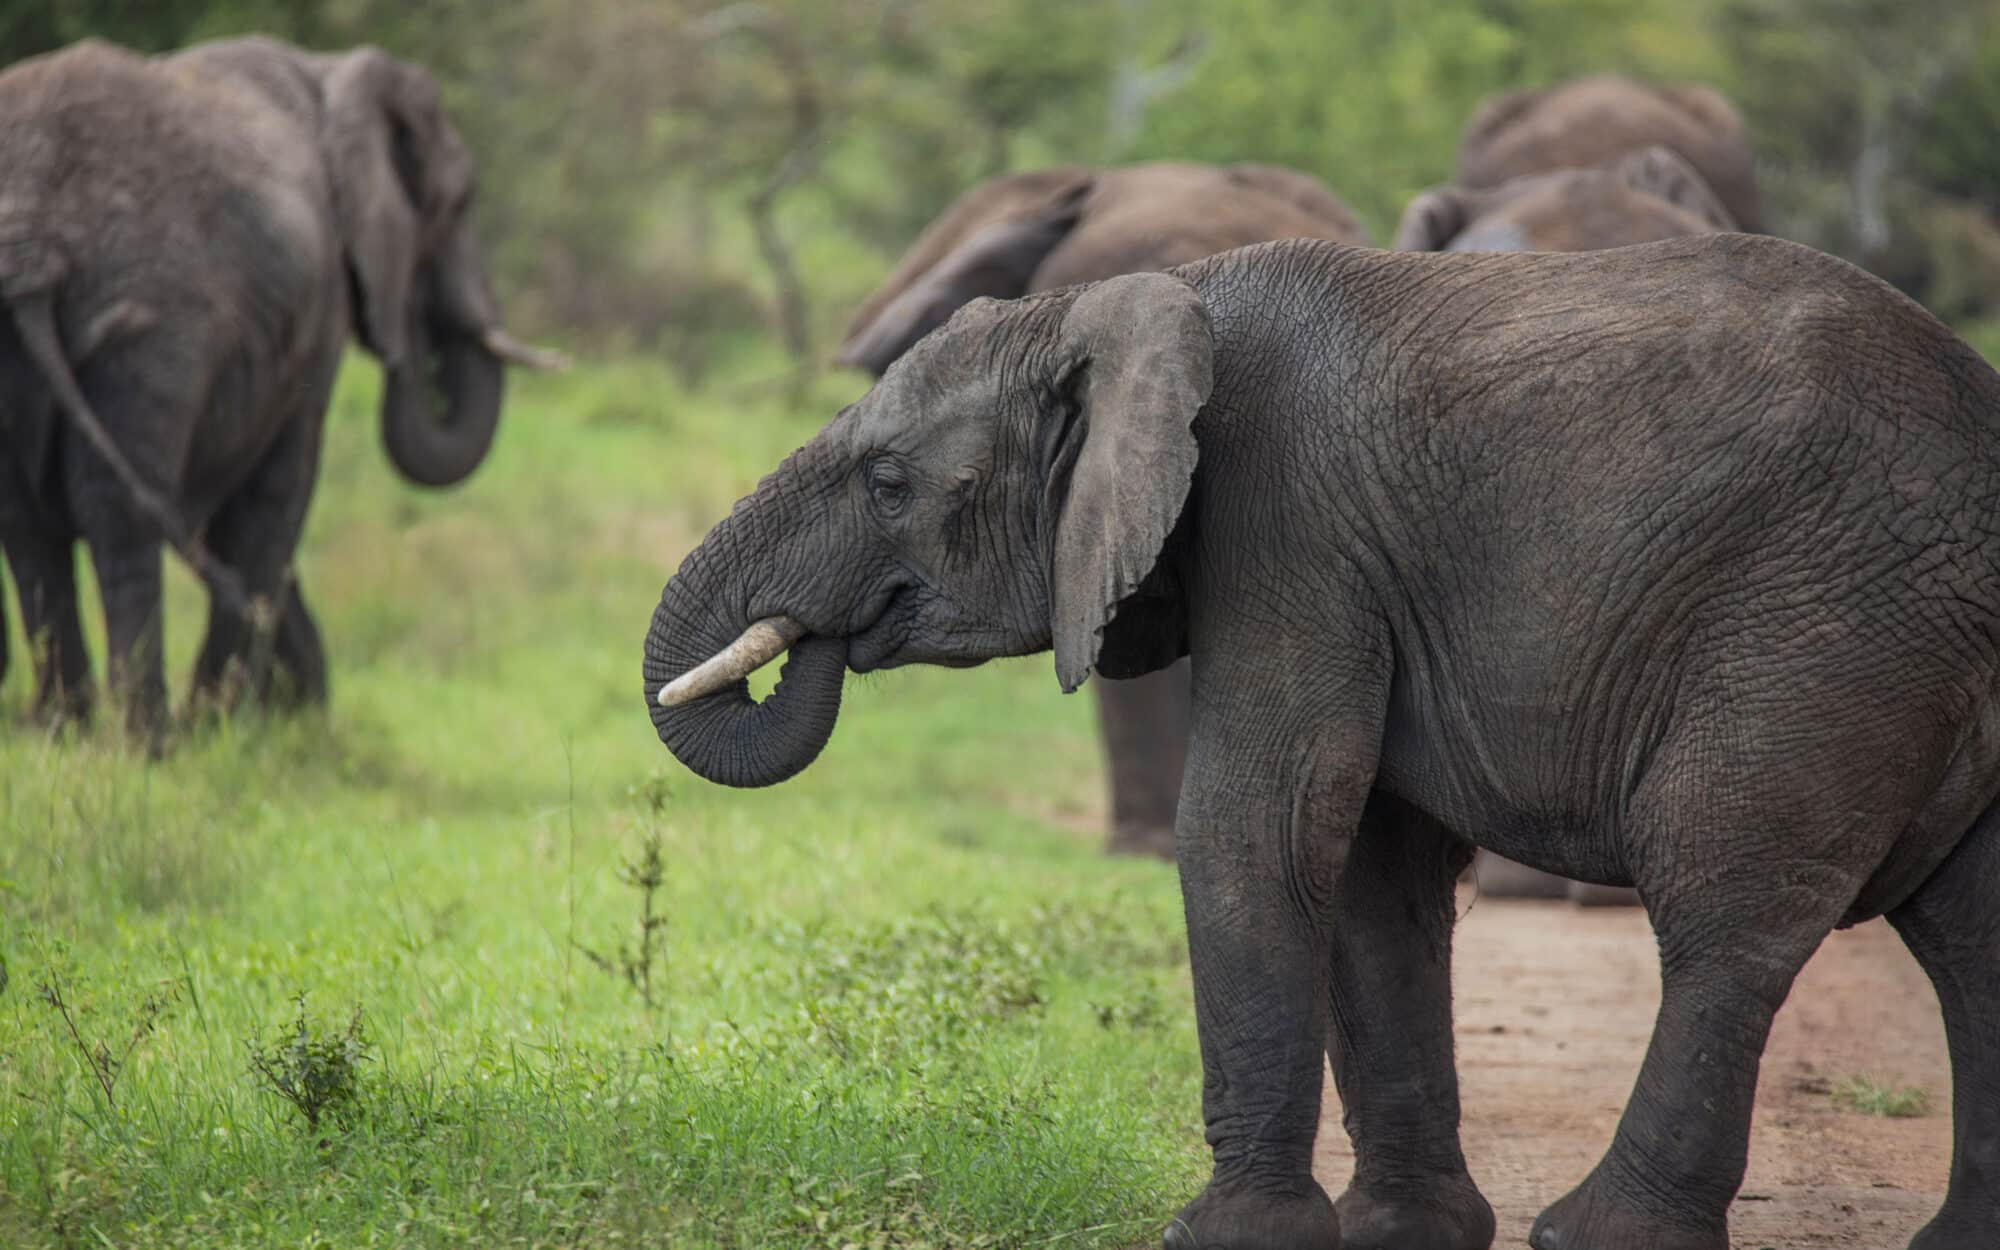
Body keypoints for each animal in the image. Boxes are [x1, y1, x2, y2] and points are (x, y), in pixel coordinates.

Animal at [0, 37, 557, 736]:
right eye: (459, 202)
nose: (416, 339)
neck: (331, 71)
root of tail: (32, 248)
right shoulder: (316, 317)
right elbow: (278, 491)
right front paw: (229, 724)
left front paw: (265, 719)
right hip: (154, 323)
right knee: (119, 514)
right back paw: (149, 740)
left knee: (27, 528)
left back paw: (65, 733)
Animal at [643, 234, 2000, 1250]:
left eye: (886, 481)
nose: (819, 637)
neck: (1128, 304)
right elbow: (1368, 868)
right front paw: (1401, 1232)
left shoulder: (1285, 523)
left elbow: (1263, 817)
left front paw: (1226, 1233)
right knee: (1966, 936)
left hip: (1824, 625)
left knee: (1727, 895)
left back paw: (1597, 1231)